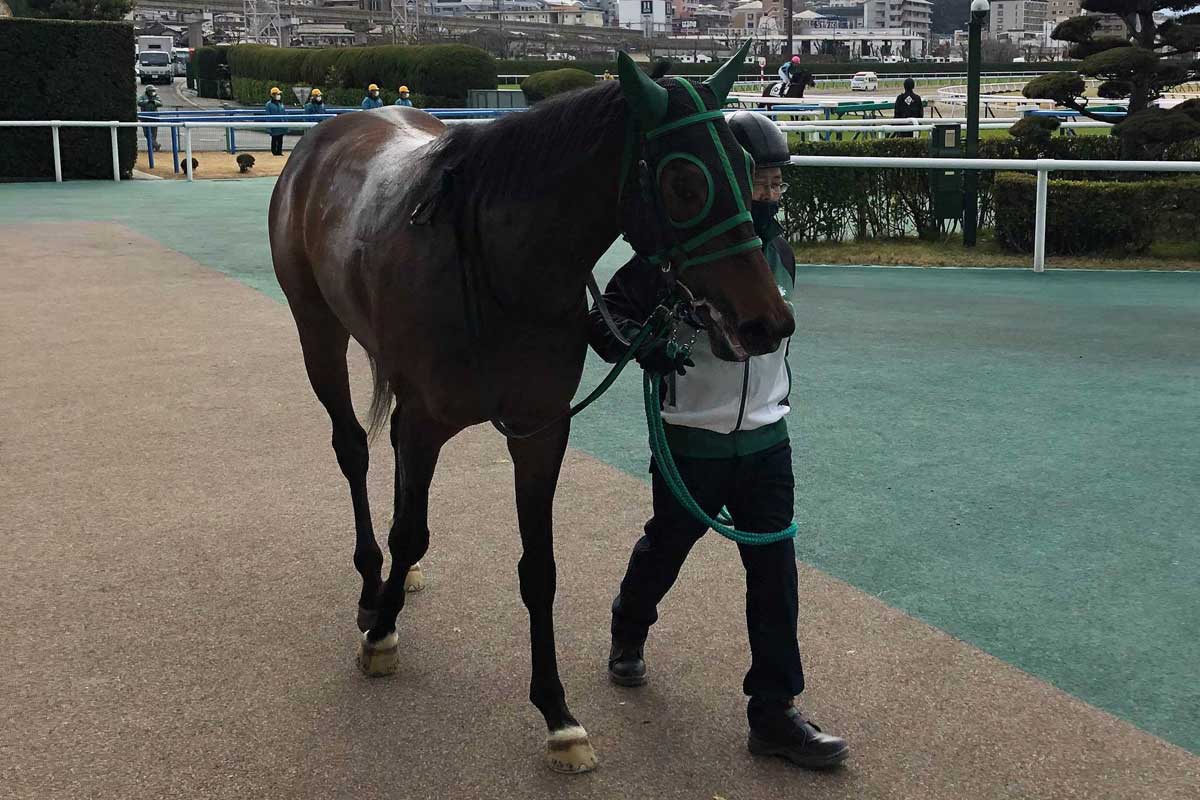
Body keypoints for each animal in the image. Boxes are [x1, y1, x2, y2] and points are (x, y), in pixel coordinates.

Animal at [267, 41, 795, 773]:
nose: (766, 321)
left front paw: (557, 714)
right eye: (685, 181)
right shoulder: (428, 422)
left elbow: (539, 569)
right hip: (315, 325)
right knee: (352, 450)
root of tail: (330, 132)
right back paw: (375, 589)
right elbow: (410, 529)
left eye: (746, 170)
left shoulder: (540, 430)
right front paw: (382, 635)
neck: (501, 268)